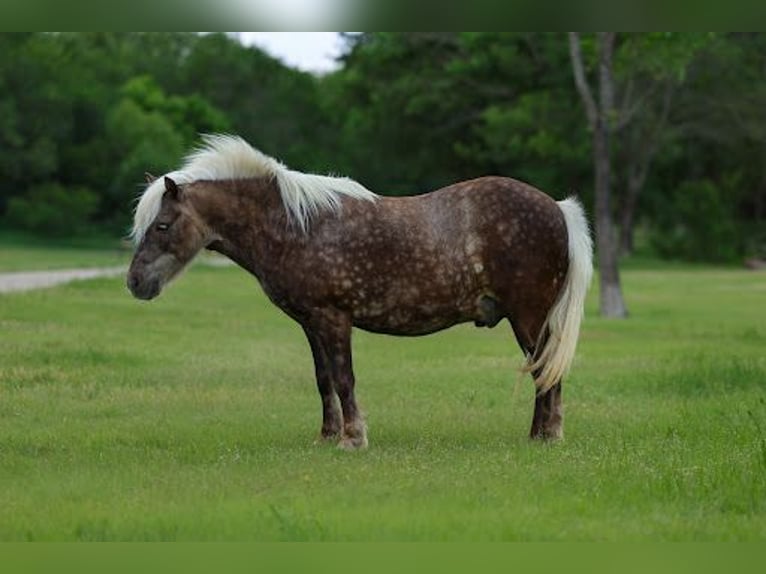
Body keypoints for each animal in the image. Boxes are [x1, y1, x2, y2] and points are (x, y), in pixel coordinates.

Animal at [127, 135, 593, 450]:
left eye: (162, 225)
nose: (134, 282)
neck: (296, 227)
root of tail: (556, 207)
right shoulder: (311, 324)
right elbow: (324, 380)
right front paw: (327, 436)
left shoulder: (334, 319)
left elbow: (344, 378)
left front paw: (353, 439)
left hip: (528, 317)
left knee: (544, 369)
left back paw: (545, 436)